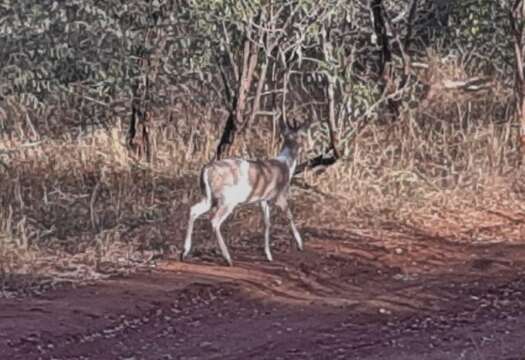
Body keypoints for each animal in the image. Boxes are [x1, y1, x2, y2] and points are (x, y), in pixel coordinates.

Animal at [182, 119, 304, 266]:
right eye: (302, 136)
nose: (305, 146)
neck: (286, 165)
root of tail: (206, 170)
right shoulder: (279, 195)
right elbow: (290, 216)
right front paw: (300, 245)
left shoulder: (262, 199)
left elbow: (266, 223)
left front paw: (268, 255)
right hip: (227, 199)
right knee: (215, 221)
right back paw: (227, 258)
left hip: (209, 197)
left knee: (193, 210)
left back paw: (184, 252)